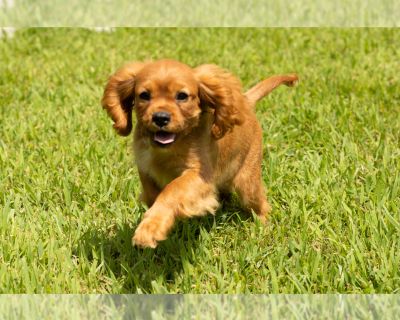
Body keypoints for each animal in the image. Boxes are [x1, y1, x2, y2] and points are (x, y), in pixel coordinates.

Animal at [103, 60, 296, 250]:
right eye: (144, 95)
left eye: (182, 96)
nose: (160, 118)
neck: (171, 148)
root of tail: (246, 101)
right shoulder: (145, 167)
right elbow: (152, 193)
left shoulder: (199, 176)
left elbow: (172, 190)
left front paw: (150, 229)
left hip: (248, 182)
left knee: (260, 205)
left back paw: (263, 228)